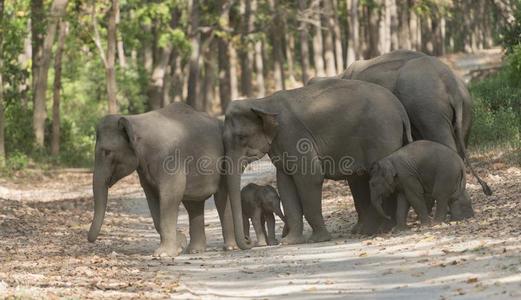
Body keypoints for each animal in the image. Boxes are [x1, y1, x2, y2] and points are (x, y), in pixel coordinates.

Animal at [87, 102, 238, 256]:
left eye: (107, 152)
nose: (90, 240)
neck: (135, 120)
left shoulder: (170, 160)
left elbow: (172, 193)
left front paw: (164, 253)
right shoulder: (144, 170)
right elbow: (152, 197)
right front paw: (179, 244)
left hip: (226, 161)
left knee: (221, 198)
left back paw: (230, 247)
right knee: (194, 204)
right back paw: (195, 250)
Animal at [225, 77, 412, 248]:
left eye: (241, 137)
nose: (248, 243)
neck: (263, 102)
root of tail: (399, 107)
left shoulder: (295, 136)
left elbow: (309, 178)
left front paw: (319, 239)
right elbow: (285, 183)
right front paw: (290, 241)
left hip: (383, 135)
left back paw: (385, 229)